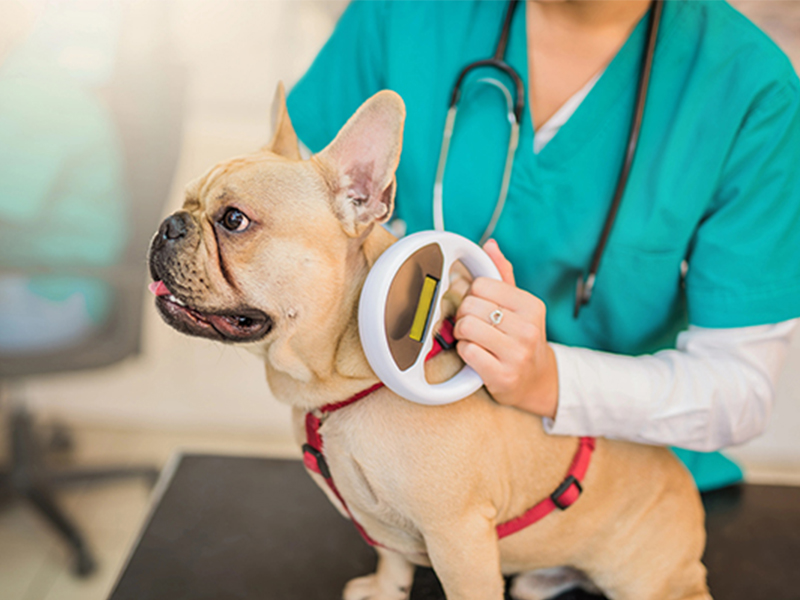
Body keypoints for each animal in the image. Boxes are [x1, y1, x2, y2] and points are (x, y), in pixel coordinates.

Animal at [147, 84, 708, 600]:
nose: (168, 224)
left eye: (234, 220)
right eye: (186, 201)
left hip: (651, 578)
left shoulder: (458, 537)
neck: (340, 383)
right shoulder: (384, 525)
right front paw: (384, 591)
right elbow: (392, 560)